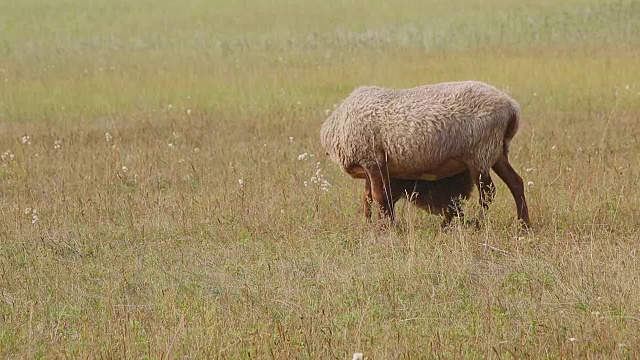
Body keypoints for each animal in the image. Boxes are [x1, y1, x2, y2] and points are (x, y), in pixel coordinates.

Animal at [320, 80, 528, 229]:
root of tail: (511, 107)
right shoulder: (375, 166)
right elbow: (370, 196)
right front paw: (371, 223)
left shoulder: (372, 161)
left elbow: (379, 197)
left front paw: (382, 228)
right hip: (496, 152)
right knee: (516, 183)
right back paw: (524, 224)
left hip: (479, 154)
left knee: (487, 193)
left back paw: (476, 224)